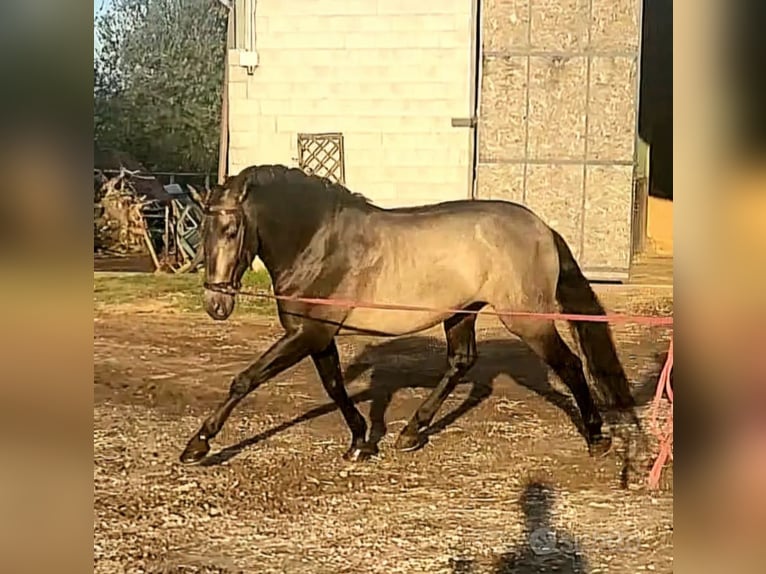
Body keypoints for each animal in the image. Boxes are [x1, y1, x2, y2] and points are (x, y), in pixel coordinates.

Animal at [182, 164, 636, 466]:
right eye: (200, 232)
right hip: (462, 313)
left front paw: (198, 445)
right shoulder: (318, 335)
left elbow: (247, 379)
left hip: (527, 319)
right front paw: (361, 442)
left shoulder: (307, 333)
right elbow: (335, 386)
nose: (215, 304)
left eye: (230, 231)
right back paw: (412, 432)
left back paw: (596, 437)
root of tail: (542, 227)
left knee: (570, 364)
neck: (319, 241)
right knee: (461, 362)